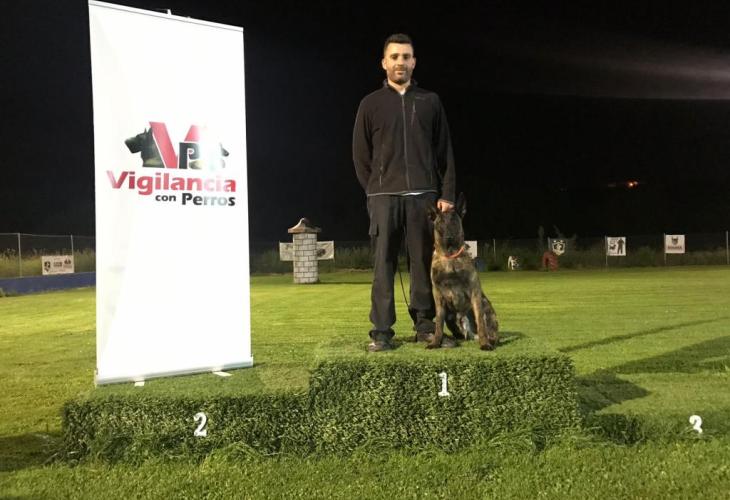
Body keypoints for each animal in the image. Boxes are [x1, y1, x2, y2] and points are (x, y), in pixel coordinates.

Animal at [427, 194, 499, 350]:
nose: (449, 237)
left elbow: (480, 322)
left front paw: (485, 344)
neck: (450, 257)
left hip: (485, 305)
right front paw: (436, 342)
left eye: (454, 222)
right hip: (452, 317)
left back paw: (489, 340)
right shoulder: (438, 296)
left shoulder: (475, 292)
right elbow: (438, 323)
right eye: (440, 222)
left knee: (487, 329)